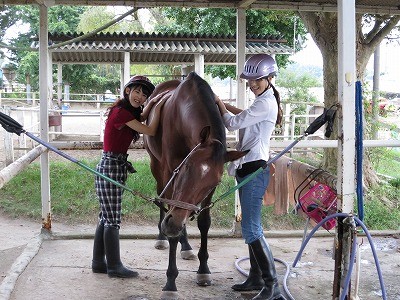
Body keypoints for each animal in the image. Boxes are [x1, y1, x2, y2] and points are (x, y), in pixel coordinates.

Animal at [142, 71, 245, 298]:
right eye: (186, 166)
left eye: (215, 181)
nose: (172, 225)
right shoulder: (170, 171)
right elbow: (170, 210)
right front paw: (170, 282)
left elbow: (204, 223)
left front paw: (203, 270)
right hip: (156, 166)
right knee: (163, 201)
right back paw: (162, 236)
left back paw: (186, 245)